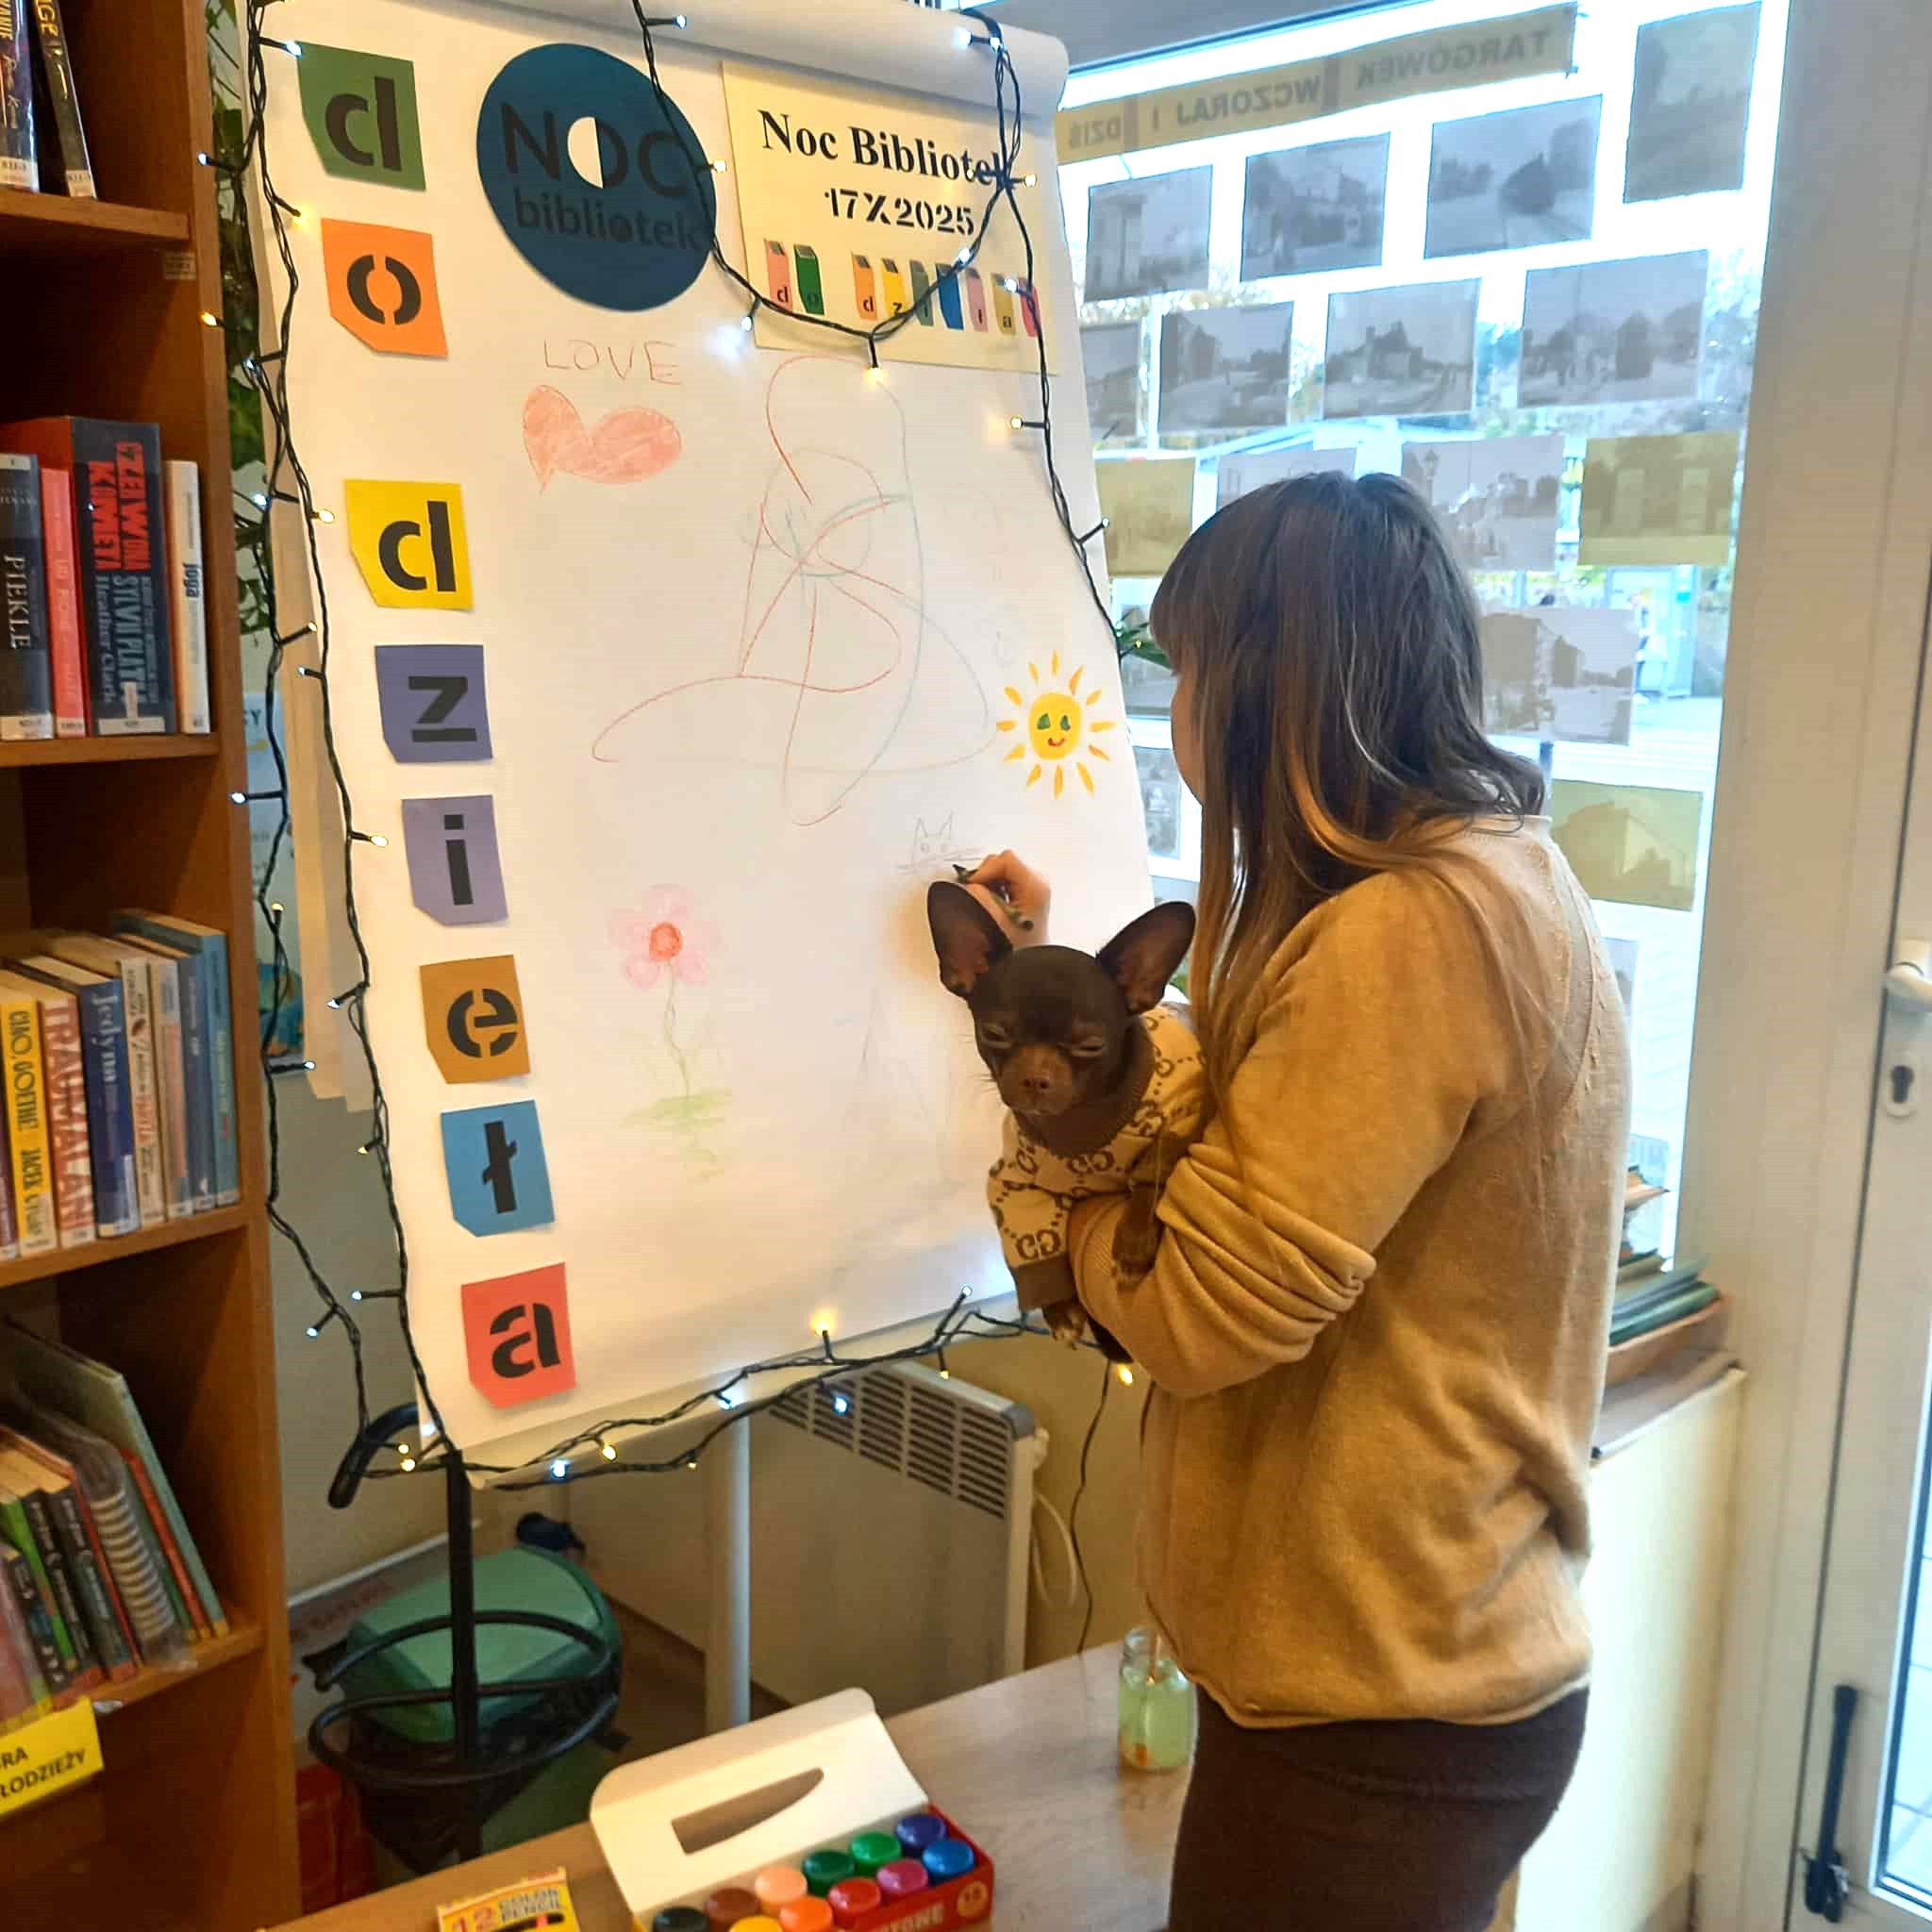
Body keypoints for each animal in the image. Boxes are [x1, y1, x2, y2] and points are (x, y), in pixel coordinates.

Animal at [926, 881, 1202, 1359]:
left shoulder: (1184, 1113)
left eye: (1090, 1045)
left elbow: (1149, 1173)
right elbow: (1032, 1242)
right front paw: (1060, 1312)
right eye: (994, 1034)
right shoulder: (1014, 1185)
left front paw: (1132, 1246)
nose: (1036, 1077)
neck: (1078, 1120)